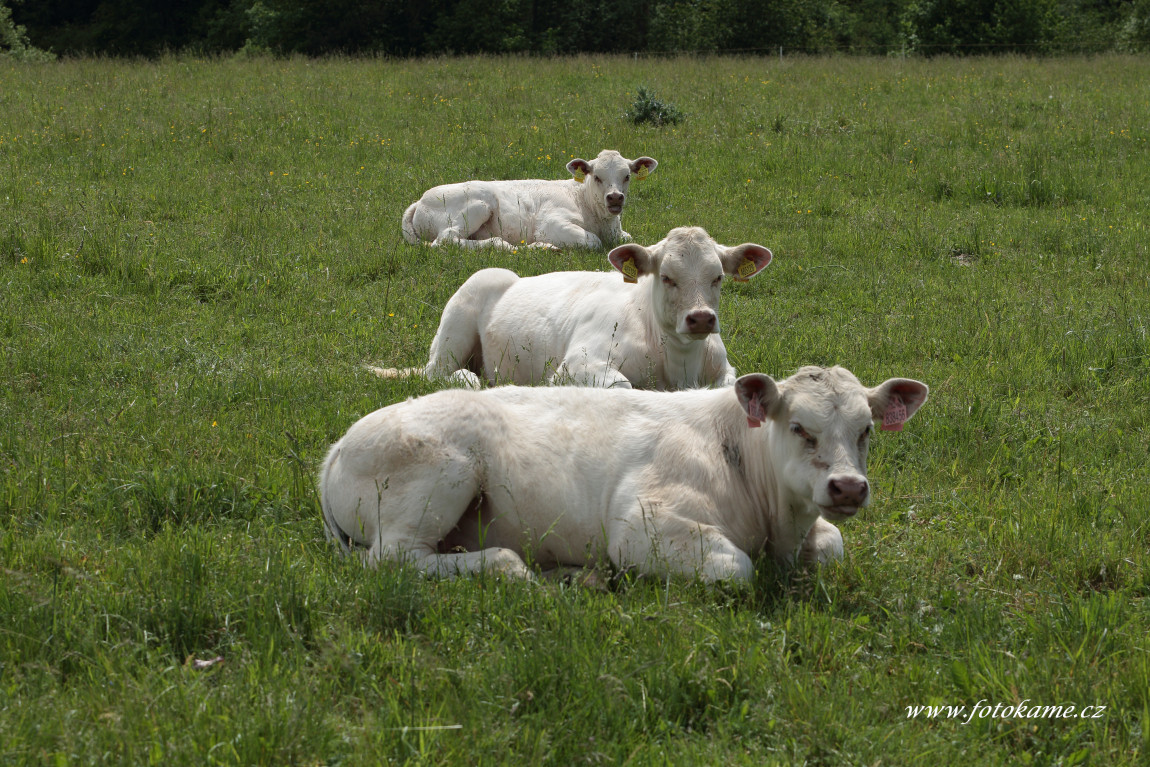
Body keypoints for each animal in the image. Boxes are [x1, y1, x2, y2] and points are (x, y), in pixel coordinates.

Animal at [319, 365, 929, 581]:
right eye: (800, 426)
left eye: (866, 430)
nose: (847, 486)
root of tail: (339, 444)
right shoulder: (643, 523)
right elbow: (736, 567)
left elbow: (833, 546)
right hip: (439, 477)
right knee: (392, 560)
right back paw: (512, 567)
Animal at [372, 225, 777, 386]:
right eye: (667, 277)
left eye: (717, 277)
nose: (701, 319)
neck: (678, 365)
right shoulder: (577, 364)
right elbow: (624, 386)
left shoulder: (725, 369)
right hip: (456, 326)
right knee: (438, 372)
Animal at [402, 148, 657, 247]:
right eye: (597, 177)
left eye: (627, 176)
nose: (615, 198)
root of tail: (420, 201)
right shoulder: (551, 223)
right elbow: (593, 241)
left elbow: (628, 238)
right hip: (478, 204)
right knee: (446, 239)